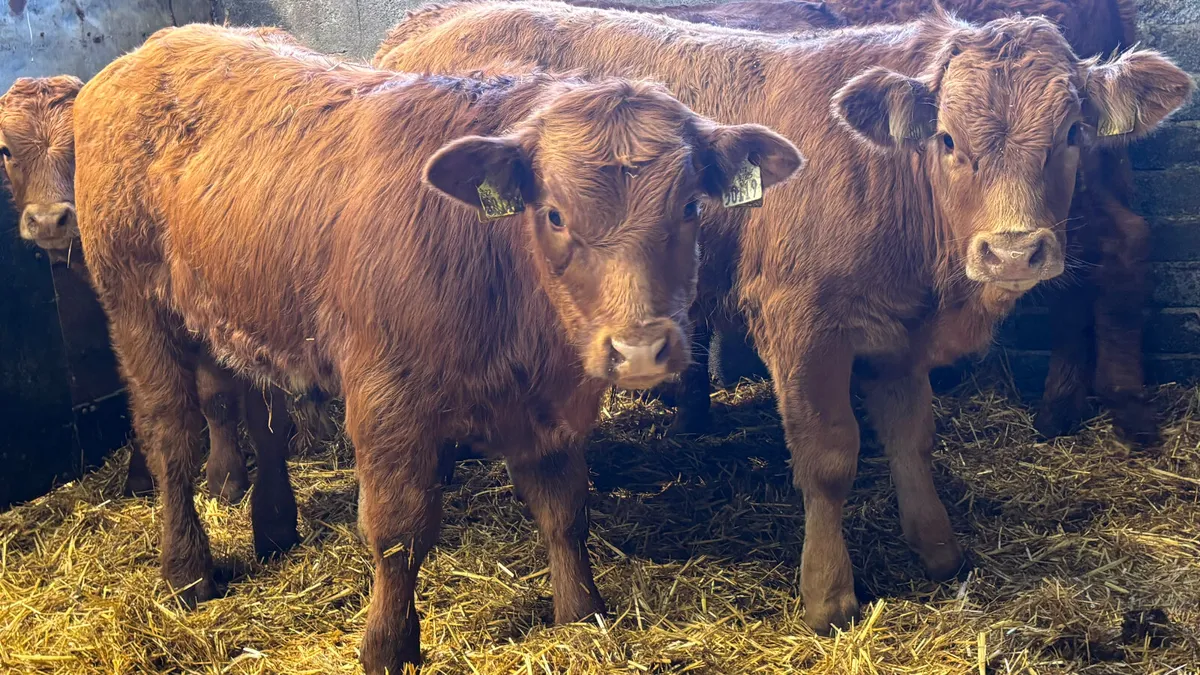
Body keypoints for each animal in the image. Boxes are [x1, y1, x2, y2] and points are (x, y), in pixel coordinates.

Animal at [72, 23, 803, 672]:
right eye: (554, 214)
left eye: (691, 207)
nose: (642, 348)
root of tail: (153, 49)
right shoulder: (385, 394)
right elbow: (398, 528)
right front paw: (387, 646)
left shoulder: (549, 405)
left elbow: (565, 507)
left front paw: (581, 613)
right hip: (136, 306)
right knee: (171, 440)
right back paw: (186, 571)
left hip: (245, 308)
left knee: (265, 419)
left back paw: (275, 527)